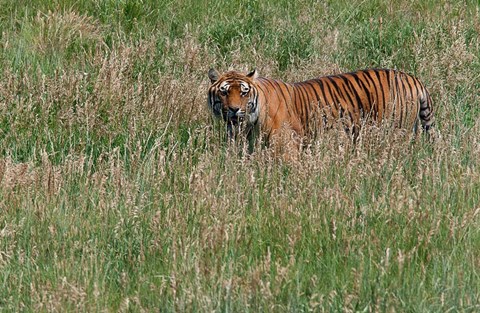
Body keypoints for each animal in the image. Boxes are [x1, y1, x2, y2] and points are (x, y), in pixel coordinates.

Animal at [207, 68, 436, 150]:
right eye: (224, 92)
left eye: (243, 93)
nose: (234, 109)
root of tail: (413, 78)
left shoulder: (287, 144)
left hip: (394, 131)